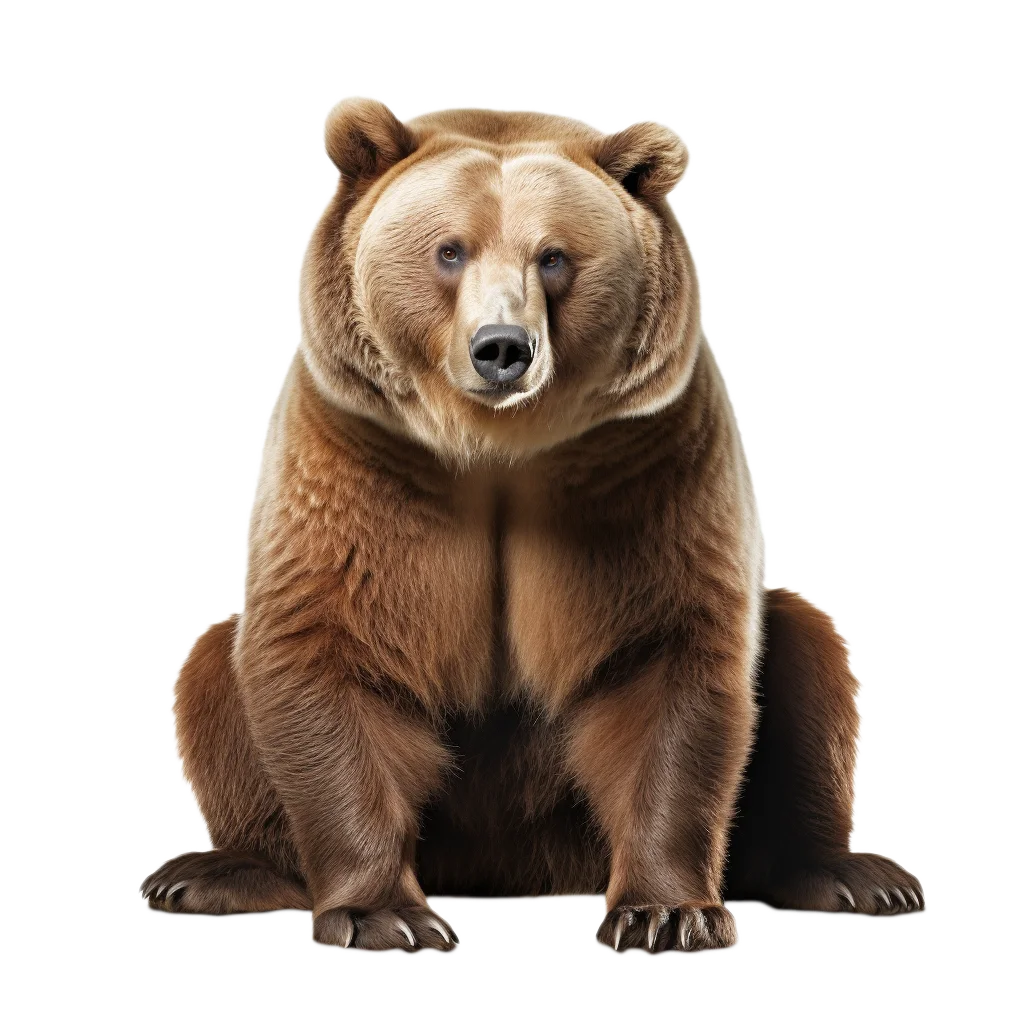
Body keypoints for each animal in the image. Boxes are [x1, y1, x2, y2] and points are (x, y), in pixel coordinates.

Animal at [140, 97, 926, 953]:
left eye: (554, 257)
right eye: (449, 250)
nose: (501, 348)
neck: (498, 447)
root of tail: (517, 868)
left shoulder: (642, 462)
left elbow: (667, 655)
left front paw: (664, 911)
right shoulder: (360, 452)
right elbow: (329, 643)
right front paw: (386, 913)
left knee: (809, 649)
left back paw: (853, 874)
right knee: (211, 668)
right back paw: (211, 873)